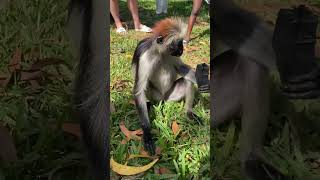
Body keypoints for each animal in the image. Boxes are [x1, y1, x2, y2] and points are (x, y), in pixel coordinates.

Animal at [131, 18, 201, 155]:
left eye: (181, 43)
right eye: (177, 44)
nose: (182, 50)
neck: (160, 53)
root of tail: (163, 98)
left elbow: (182, 69)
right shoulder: (145, 57)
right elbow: (139, 90)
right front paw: (147, 133)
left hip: (171, 95)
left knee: (186, 80)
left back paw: (188, 112)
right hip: (155, 96)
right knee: (146, 87)